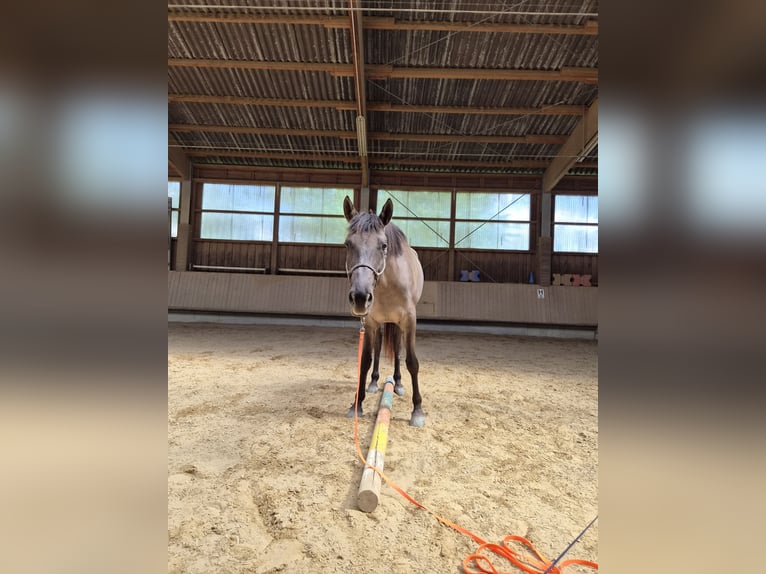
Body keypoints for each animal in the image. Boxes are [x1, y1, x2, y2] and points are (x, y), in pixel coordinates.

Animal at [342, 196, 426, 427]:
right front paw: (357, 403)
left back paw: (397, 383)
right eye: (347, 244)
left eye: (383, 245)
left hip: (396, 324)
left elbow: (412, 362)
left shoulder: (409, 321)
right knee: (379, 348)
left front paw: (417, 410)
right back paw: (373, 382)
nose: (360, 297)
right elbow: (365, 361)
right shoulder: (370, 322)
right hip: (380, 323)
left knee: (397, 350)